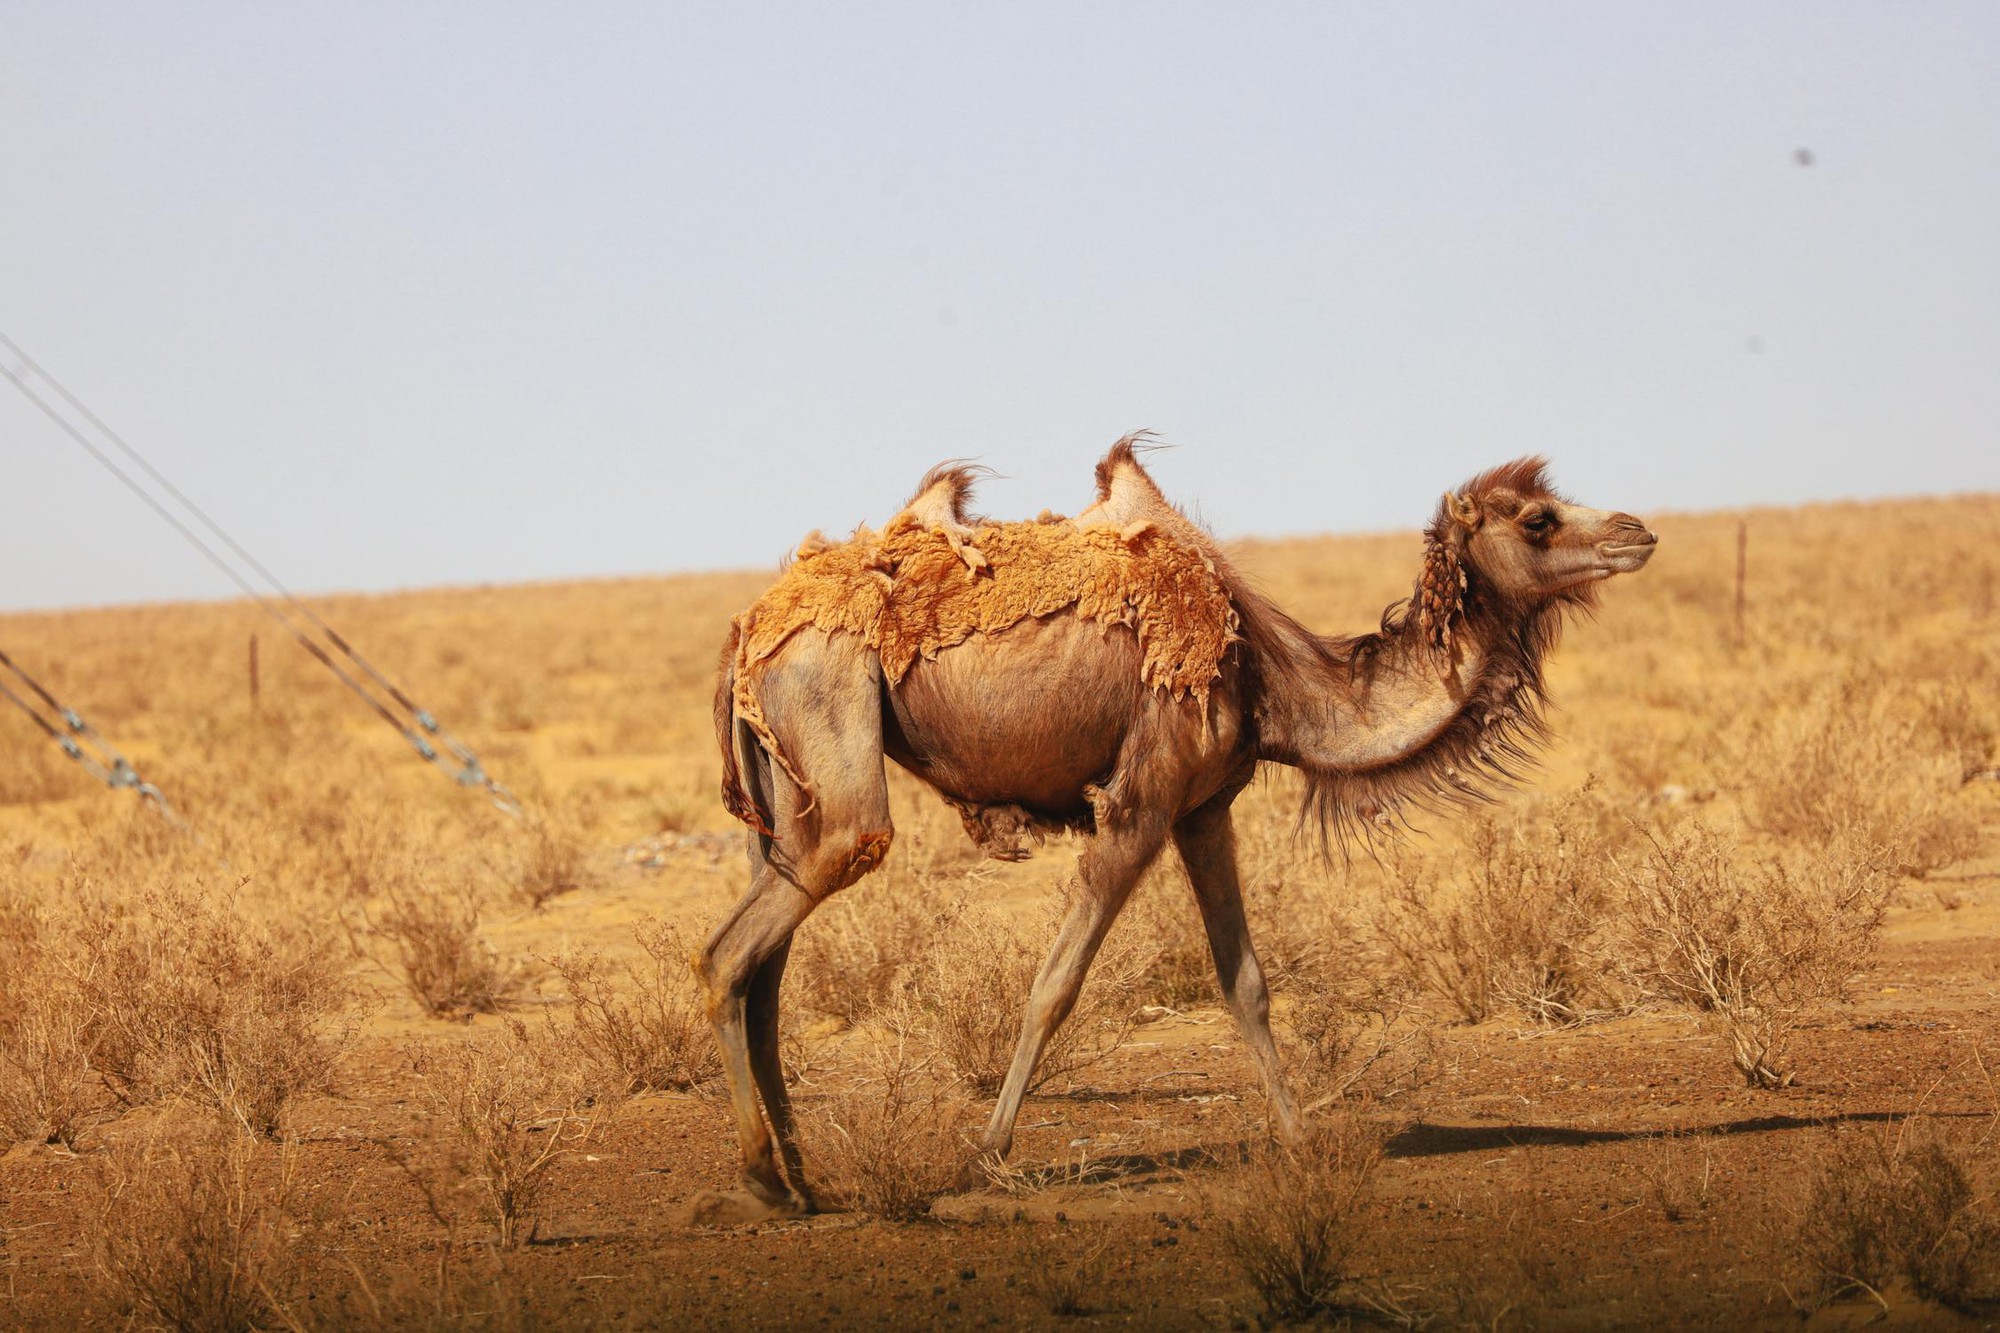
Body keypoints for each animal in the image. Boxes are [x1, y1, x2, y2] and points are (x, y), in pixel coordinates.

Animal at [704, 434, 1656, 1200]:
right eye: (1537, 518)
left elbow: (1248, 985)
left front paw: (1300, 1140)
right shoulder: (1142, 800)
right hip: (829, 715)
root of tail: (747, 627)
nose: (1637, 530)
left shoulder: (1204, 812)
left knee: (764, 970)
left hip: (779, 797)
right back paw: (762, 1179)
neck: (1269, 681)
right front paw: (986, 1154)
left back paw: (799, 1176)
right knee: (742, 945)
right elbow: (1055, 986)